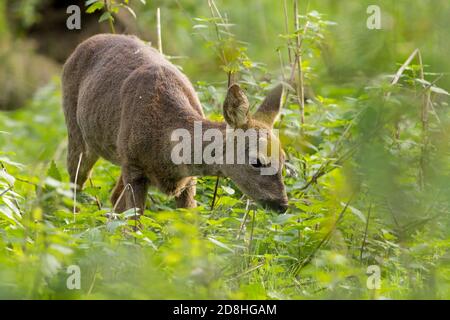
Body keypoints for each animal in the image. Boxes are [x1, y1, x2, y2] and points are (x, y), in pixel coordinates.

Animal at [61, 33, 288, 215]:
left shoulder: (188, 180)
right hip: (77, 132)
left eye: (284, 159)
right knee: (74, 184)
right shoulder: (134, 168)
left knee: (114, 198)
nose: (283, 204)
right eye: (257, 161)